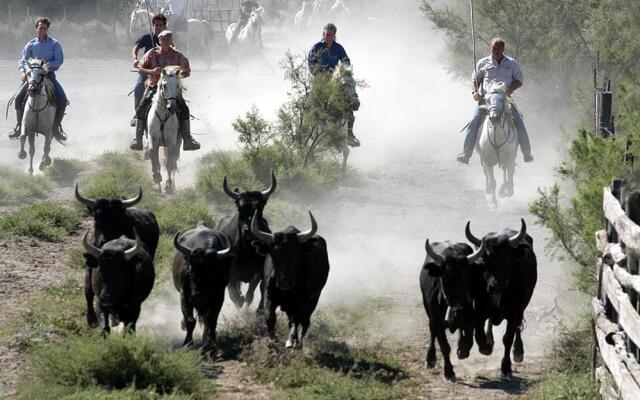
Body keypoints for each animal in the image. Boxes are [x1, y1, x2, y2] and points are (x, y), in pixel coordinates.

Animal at [75, 186, 160, 326]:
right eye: (97, 217)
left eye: (118, 219)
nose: (103, 241)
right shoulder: (90, 265)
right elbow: (88, 290)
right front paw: (91, 319)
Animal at [147, 66, 182, 195]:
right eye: (164, 85)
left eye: (177, 85)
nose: (172, 107)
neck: (163, 116)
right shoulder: (153, 139)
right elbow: (154, 157)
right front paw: (157, 179)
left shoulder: (171, 142)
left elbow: (169, 164)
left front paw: (168, 186)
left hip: (177, 143)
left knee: (174, 161)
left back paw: (173, 185)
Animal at [464, 219, 536, 378]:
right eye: (485, 262)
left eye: (507, 261)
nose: (495, 286)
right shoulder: (479, 308)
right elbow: (478, 332)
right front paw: (485, 347)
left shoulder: (515, 311)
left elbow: (507, 338)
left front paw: (506, 367)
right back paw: (490, 340)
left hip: (521, 307)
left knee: (518, 327)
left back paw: (518, 351)